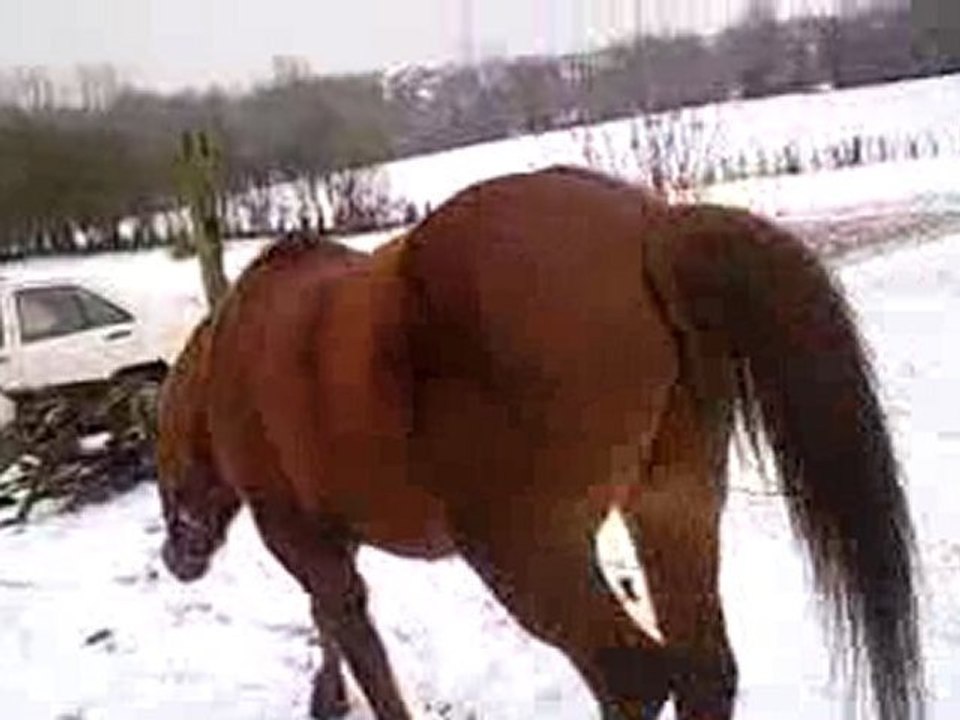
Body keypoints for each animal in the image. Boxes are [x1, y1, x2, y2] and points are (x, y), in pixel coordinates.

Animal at [155, 167, 923, 720]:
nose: (175, 558)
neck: (234, 352)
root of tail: (648, 229)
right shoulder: (329, 550)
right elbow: (332, 632)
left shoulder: (307, 546)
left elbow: (355, 644)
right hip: (672, 505)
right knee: (704, 671)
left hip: (524, 551)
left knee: (634, 678)